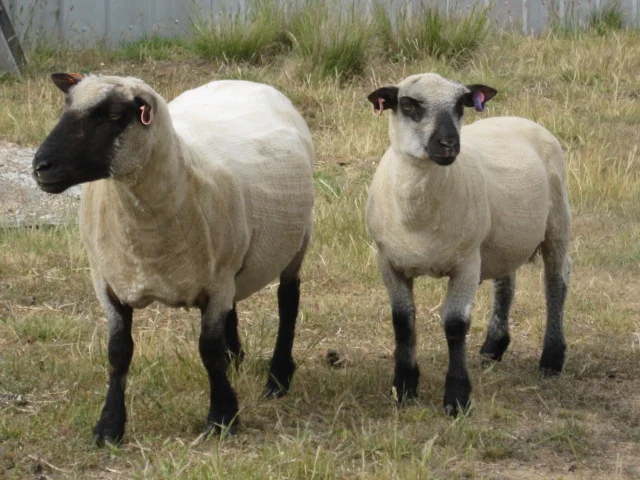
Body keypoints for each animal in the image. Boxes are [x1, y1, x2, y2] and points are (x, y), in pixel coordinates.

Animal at [32, 73, 315, 444]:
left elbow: (208, 350)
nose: (40, 167)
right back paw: (236, 358)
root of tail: (243, 79)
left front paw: (222, 417)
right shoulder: (107, 281)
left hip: (298, 239)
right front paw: (109, 426)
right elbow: (118, 352)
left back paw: (278, 377)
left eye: (113, 115)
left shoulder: (215, 285)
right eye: (66, 107)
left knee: (288, 299)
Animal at [366, 73, 571, 416]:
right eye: (407, 104)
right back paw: (494, 346)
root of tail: (517, 118)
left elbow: (455, 326)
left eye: (461, 104)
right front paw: (404, 387)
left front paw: (457, 397)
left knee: (556, 282)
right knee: (506, 285)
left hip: (557, 222)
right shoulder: (389, 262)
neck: (418, 217)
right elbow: (403, 323)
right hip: (502, 238)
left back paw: (552, 358)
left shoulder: (466, 264)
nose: (449, 144)